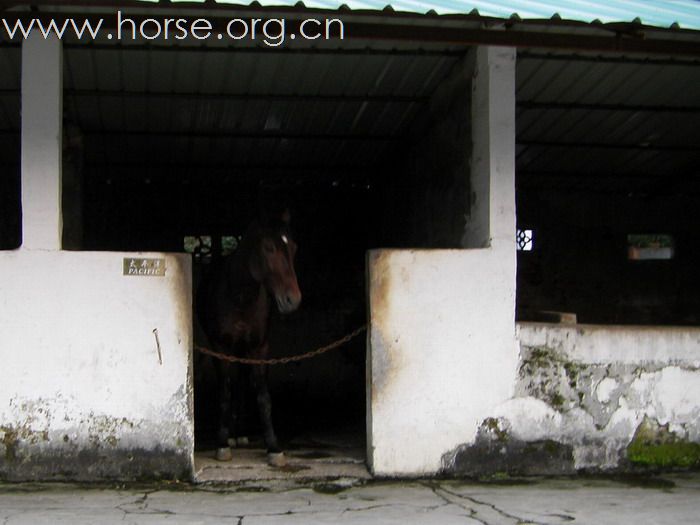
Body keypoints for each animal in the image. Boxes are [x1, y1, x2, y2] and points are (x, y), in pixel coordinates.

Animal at [200, 211, 304, 464]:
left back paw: (239, 434)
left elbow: (263, 396)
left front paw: (273, 447)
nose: (292, 300)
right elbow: (224, 394)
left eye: (294, 247)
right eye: (268, 247)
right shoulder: (221, 348)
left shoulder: (259, 348)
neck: (240, 298)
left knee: (242, 384)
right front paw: (221, 444)